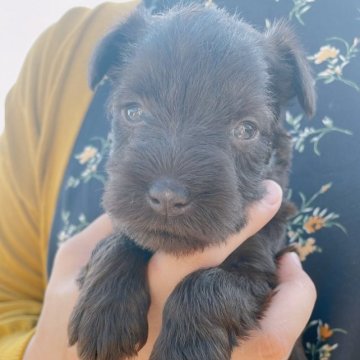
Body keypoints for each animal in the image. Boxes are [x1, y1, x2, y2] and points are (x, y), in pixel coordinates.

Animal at [67, 3, 316, 360]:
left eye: (246, 129)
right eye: (133, 112)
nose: (167, 197)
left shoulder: (261, 268)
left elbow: (208, 283)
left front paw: (185, 347)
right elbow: (120, 238)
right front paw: (104, 311)